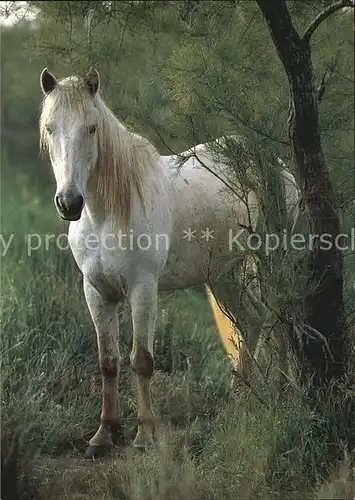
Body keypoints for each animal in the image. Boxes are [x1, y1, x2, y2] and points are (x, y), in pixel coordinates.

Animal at [39, 68, 300, 458]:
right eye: (50, 127)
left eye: (92, 128)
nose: (69, 203)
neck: (109, 211)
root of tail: (277, 166)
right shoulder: (97, 292)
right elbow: (108, 362)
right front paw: (103, 435)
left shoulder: (143, 288)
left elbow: (141, 360)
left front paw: (145, 435)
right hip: (221, 274)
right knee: (251, 320)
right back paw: (238, 401)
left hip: (271, 261)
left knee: (279, 323)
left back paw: (282, 396)